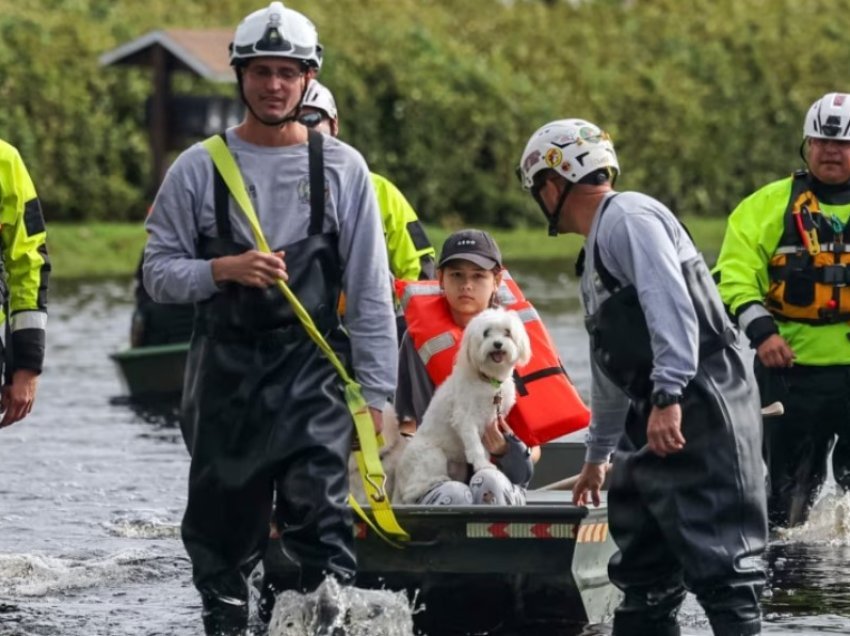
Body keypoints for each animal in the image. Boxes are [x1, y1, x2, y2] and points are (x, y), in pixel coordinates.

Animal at [392, 310, 528, 506]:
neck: (488, 381)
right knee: (412, 492)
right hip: (431, 456)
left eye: (507, 332)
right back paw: (434, 481)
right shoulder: (465, 420)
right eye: (486, 333)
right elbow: (475, 445)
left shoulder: (489, 423)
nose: (497, 344)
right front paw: (482, 465)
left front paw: (484, 463)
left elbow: (483, 448)